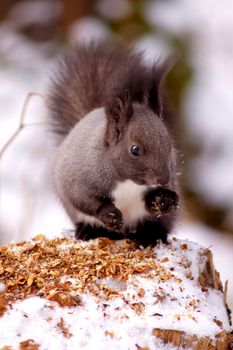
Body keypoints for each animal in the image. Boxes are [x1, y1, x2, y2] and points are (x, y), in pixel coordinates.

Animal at [46, 40, 178, 246]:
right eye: (135, 149)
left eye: (169, 144)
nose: (163, 179)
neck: (128, 181)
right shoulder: (78, 179)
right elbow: (84, 200)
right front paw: (110, 215)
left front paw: (164, 200)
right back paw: (89, 231)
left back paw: (150, 235)